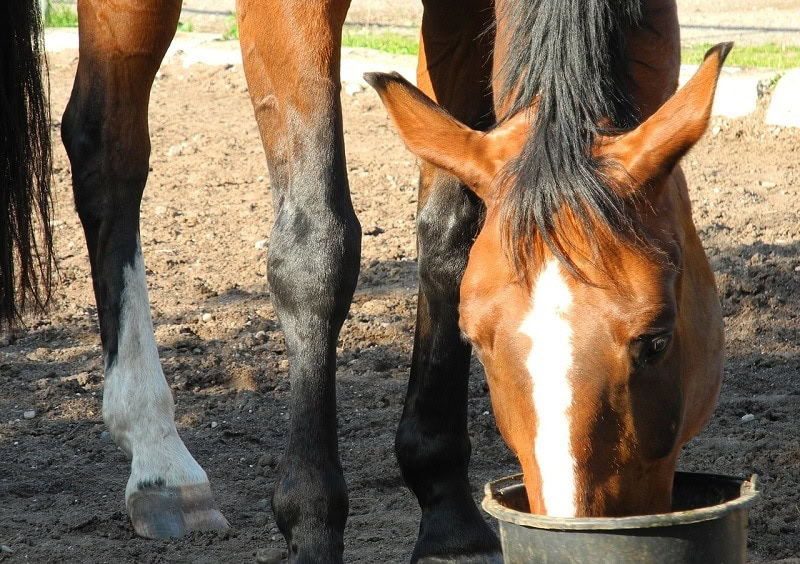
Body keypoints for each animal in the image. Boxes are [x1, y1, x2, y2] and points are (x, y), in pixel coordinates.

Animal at [2, 0, 730, 561]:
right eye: (483, 342)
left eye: (657, 340)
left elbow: (451, 233)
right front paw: (312, 524)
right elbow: (316, 249)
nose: (574, 528)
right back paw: (158, 458)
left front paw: (448, 518)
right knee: (106, 149)